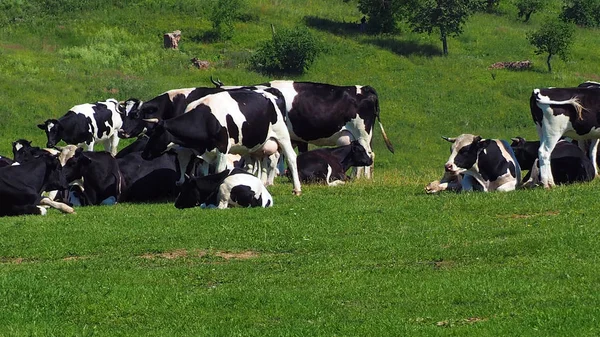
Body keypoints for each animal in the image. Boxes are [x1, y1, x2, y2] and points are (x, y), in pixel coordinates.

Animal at [142, 88, 302, 194]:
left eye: (156, 134)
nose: (143, 154)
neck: (206, 119)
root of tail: (271, 93)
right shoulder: (204, 150)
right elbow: (204, 171)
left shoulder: (223, 147)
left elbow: (219, 170)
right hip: (255, 146)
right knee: (255, 163)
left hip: (282, 135)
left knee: (291, 158)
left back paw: (297, 189)